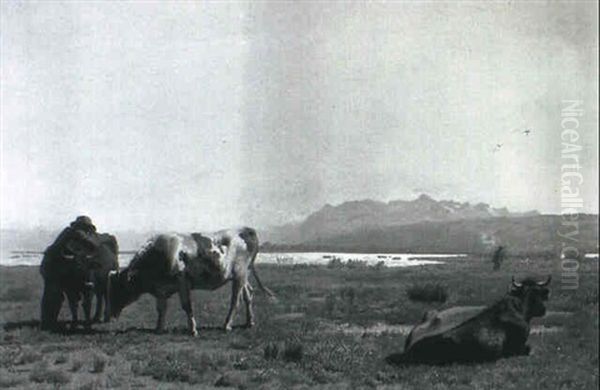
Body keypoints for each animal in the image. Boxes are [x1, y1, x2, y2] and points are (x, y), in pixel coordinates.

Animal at [108, 227, 274, 336]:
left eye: (120, 288)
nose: (110, 316)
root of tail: (243, 229)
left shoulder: (182, 282)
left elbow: (187, 306)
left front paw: (192, 329)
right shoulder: (161, 289)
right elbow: (161, 309)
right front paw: (159, 328)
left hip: (239, 275)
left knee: (235, 301)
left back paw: (227, 325)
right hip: (243, 275)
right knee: (248, 295)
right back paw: (249, 322)